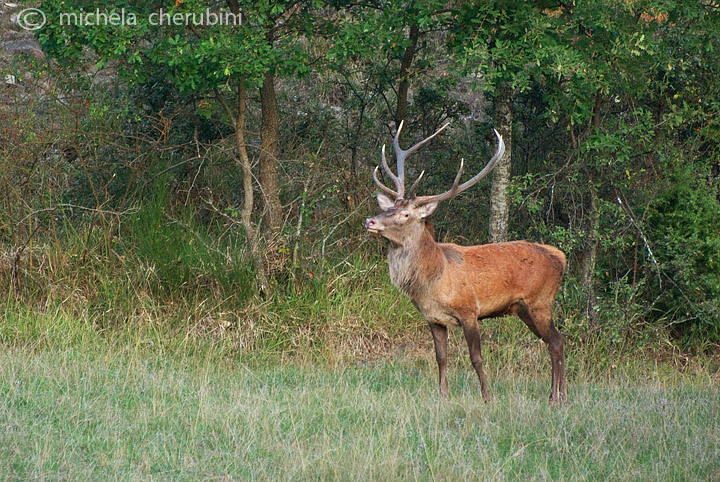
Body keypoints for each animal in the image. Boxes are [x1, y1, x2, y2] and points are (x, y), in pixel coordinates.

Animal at [366, 122, 568, 402]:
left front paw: (487, 397)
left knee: (556, 342)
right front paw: (443, 395)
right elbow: (441, 357)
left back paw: (555, 397)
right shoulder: (434, 319)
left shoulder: (469, 310)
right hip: (523, 309)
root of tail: (561, 257)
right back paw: (560, 395)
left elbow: (476, 358)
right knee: (555, 341)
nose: (370, 221)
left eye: (405, 214)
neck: (434, 280)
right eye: (388, 209)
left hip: (540, 301)